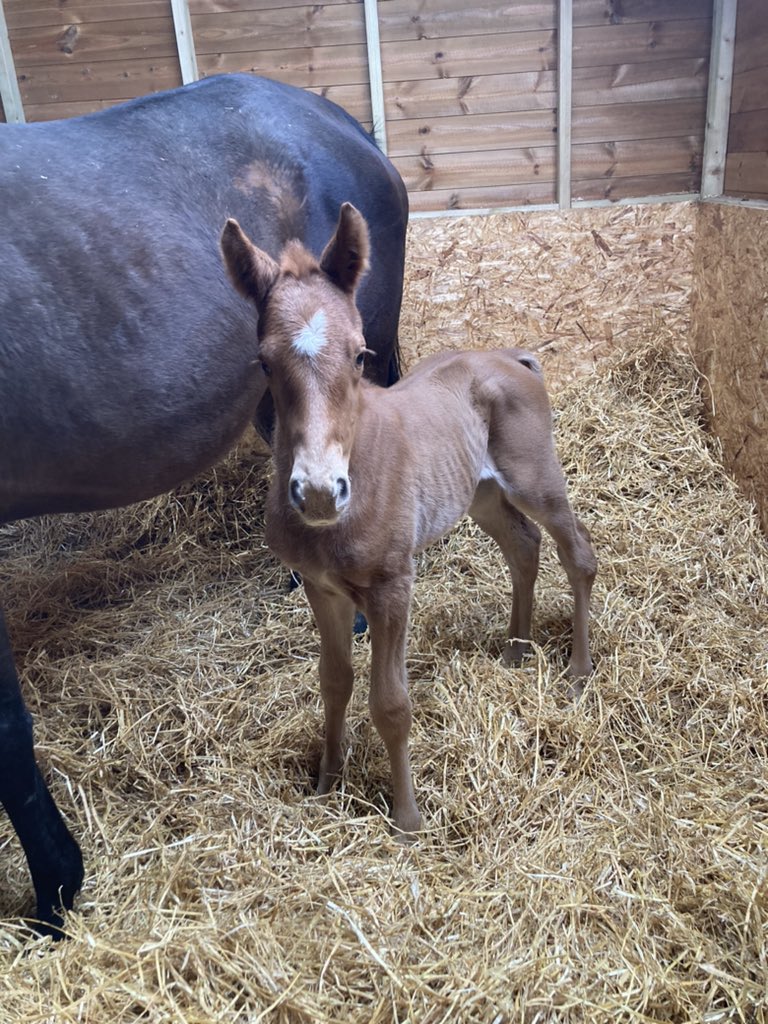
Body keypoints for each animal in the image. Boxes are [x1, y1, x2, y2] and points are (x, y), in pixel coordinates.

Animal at [220, 203, 598, 837]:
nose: (318, 493)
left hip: (535, 479)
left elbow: (391, 704)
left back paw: (577, 670)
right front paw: (327, 783)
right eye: (265, 362)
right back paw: (517, 650)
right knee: (523, 547)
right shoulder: (323, 590)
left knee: (579, 555)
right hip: (482, 494)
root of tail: (512, 356)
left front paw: (407, 819)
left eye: (359, 354)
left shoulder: (392, 587)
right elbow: (334, 683)